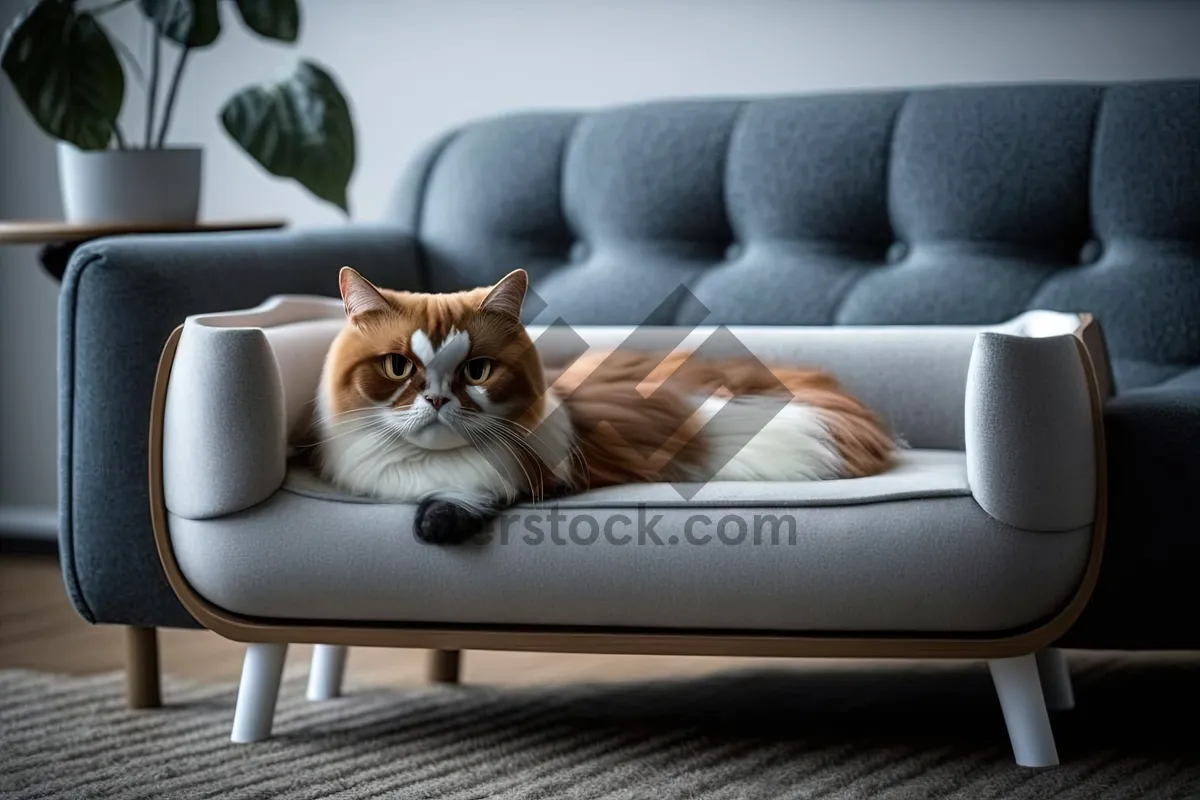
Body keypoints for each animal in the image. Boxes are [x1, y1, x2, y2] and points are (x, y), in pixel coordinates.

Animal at [314, 267, 897, 544]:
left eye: (477, 371)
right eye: (398, 367)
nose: (436, 398)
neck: (423, 469)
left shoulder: (534, 475)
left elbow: (463, 499)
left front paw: (436, 521)